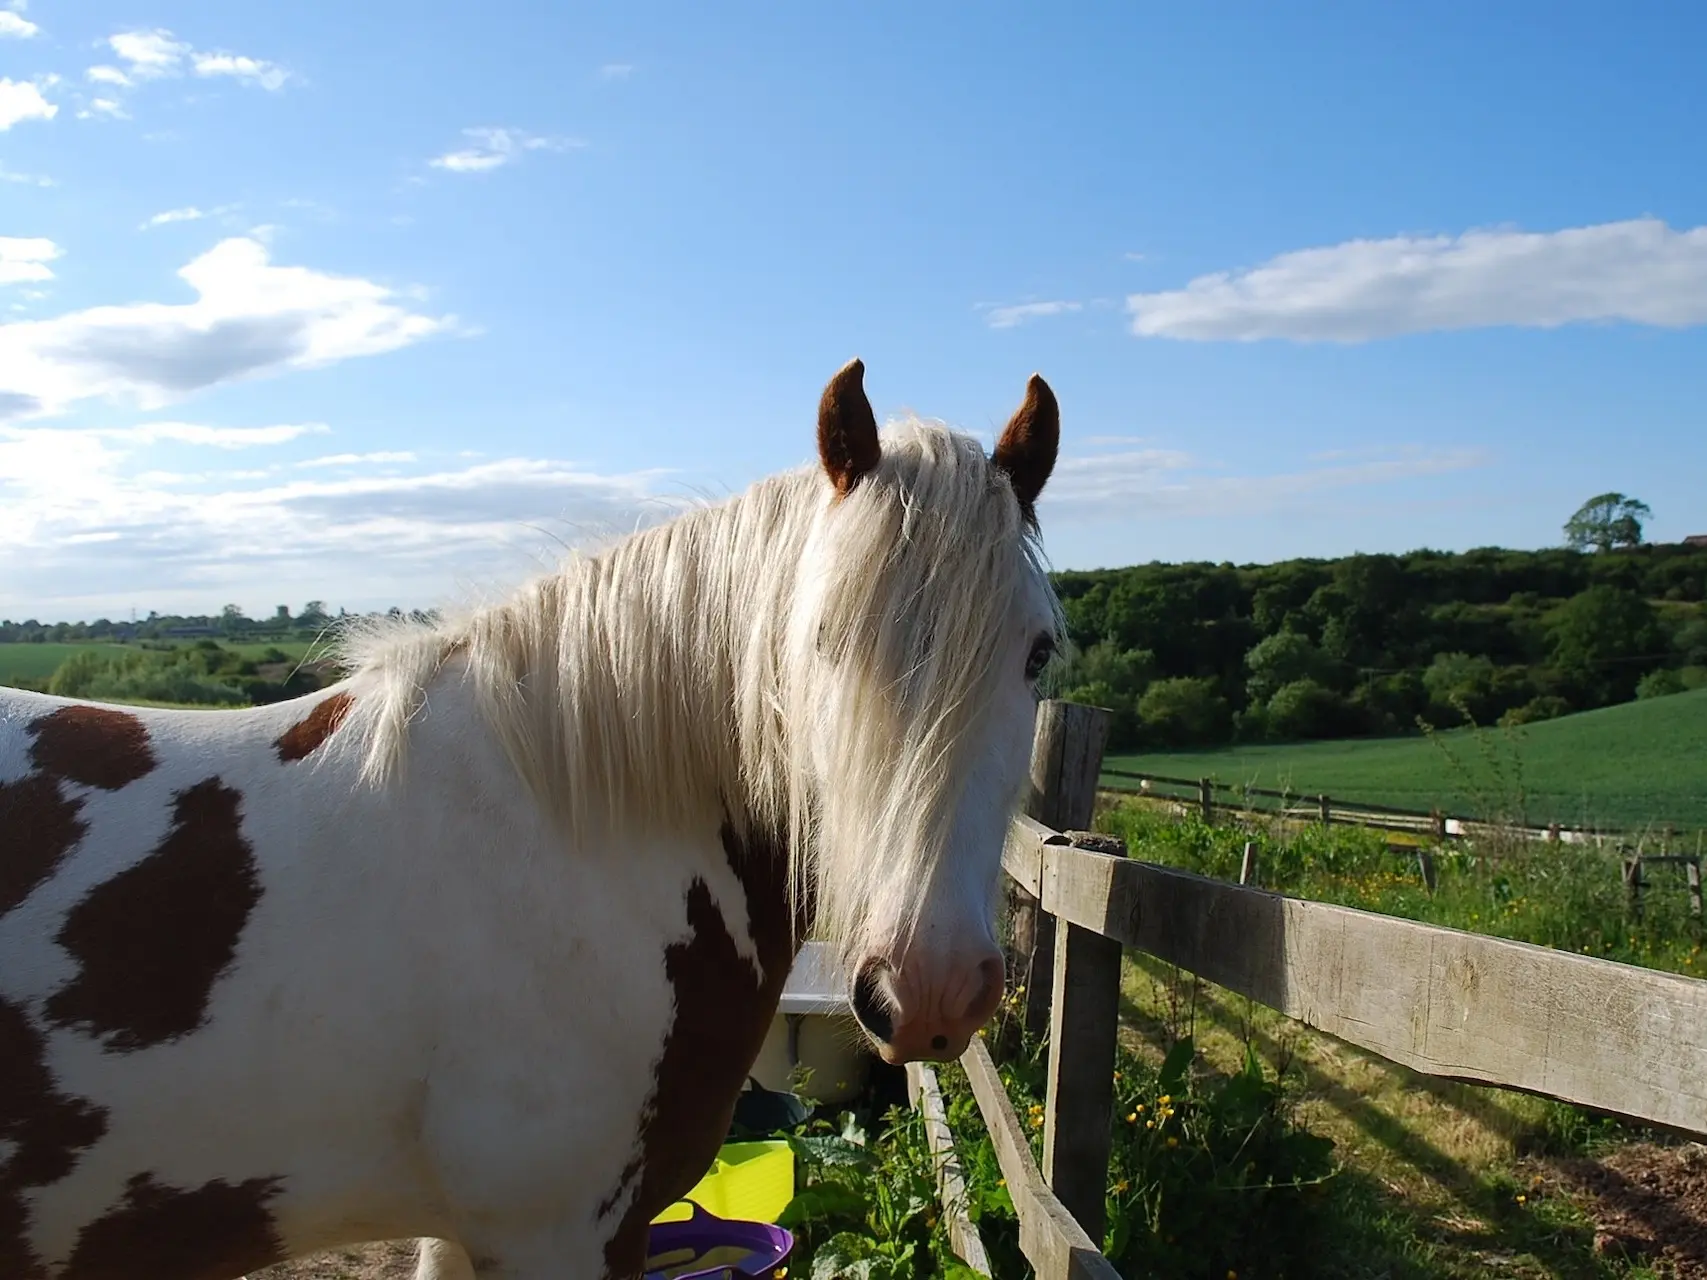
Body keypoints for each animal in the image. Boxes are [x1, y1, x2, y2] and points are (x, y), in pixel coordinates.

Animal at [0, 361, 1058, 1280]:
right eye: (822, 640)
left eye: (1039, 654)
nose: (927, 990)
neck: (571, 835)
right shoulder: (558, 1230)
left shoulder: (465, 1232)